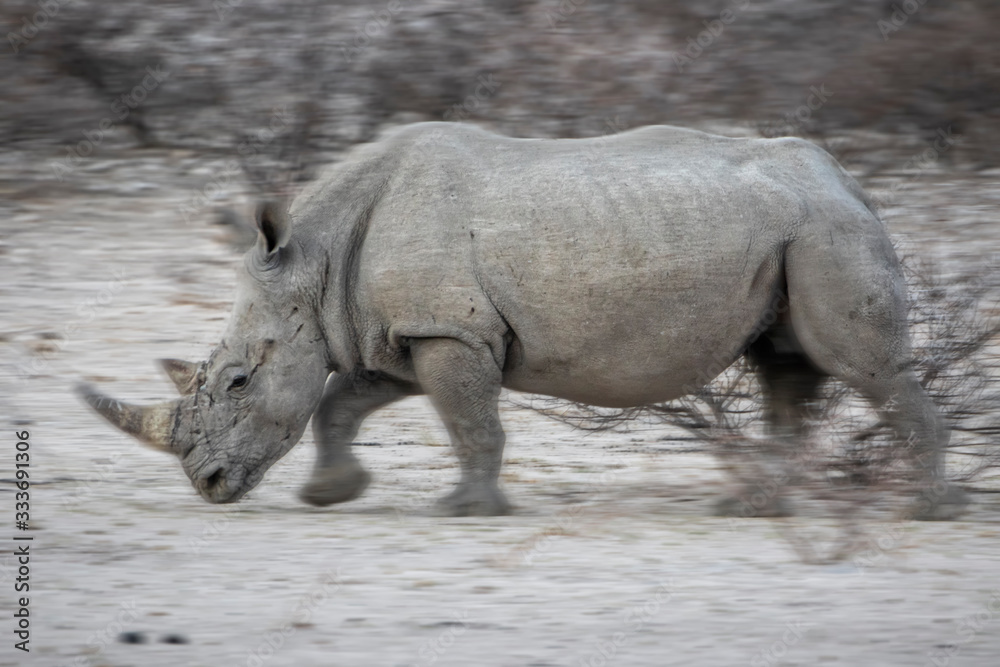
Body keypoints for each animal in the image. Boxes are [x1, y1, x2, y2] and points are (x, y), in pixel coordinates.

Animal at [77, 122, 968, 520]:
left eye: (235, 380)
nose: (207, 485)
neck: (315, 260)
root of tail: (848, 177)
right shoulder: (410, 331)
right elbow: (341, 401)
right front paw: (333, 494)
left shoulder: (449, 331)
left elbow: (471, 422)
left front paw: (465, 511)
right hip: (799, 231)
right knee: (784, 367)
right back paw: (755, 511)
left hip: (826, 231)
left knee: (858, 367)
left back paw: (929, 510)